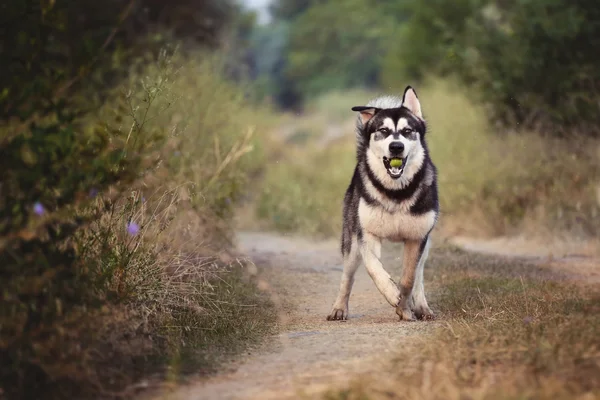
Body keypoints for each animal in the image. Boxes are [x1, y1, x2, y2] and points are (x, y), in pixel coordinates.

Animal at [326, 86, 438, 322]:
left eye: (407, 131)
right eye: (383, 130)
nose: (396, 147)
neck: (396, 193)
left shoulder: (417, 238)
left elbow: (409, 278)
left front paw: (404, 308)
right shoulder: (366, 235)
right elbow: (373, 267)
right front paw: (391, 292)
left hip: (426, 243)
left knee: (419, 275)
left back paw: (421, 307)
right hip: (350, 241)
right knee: (347, 276)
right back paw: (339, 308)